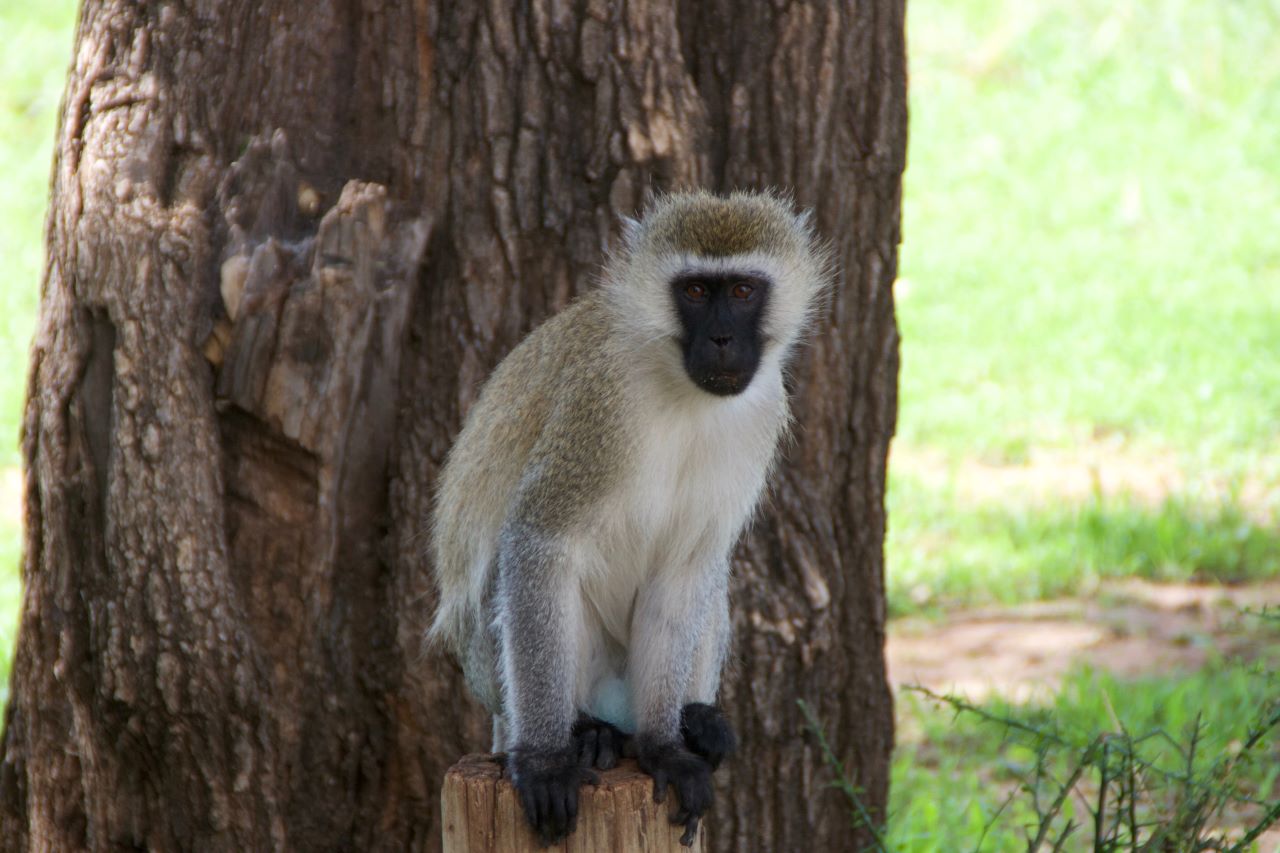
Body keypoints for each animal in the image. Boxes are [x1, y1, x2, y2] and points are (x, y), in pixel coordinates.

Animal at [430, 188, 829, 845]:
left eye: (743, 290)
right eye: (696, 291)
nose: (723, 338)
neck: (680, 386)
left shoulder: (762, 406)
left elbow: (686, 572)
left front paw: (666, 747)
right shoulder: (598, 403)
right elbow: (539, 541)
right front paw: (545, 761)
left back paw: (691, 724)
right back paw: (584, 733)